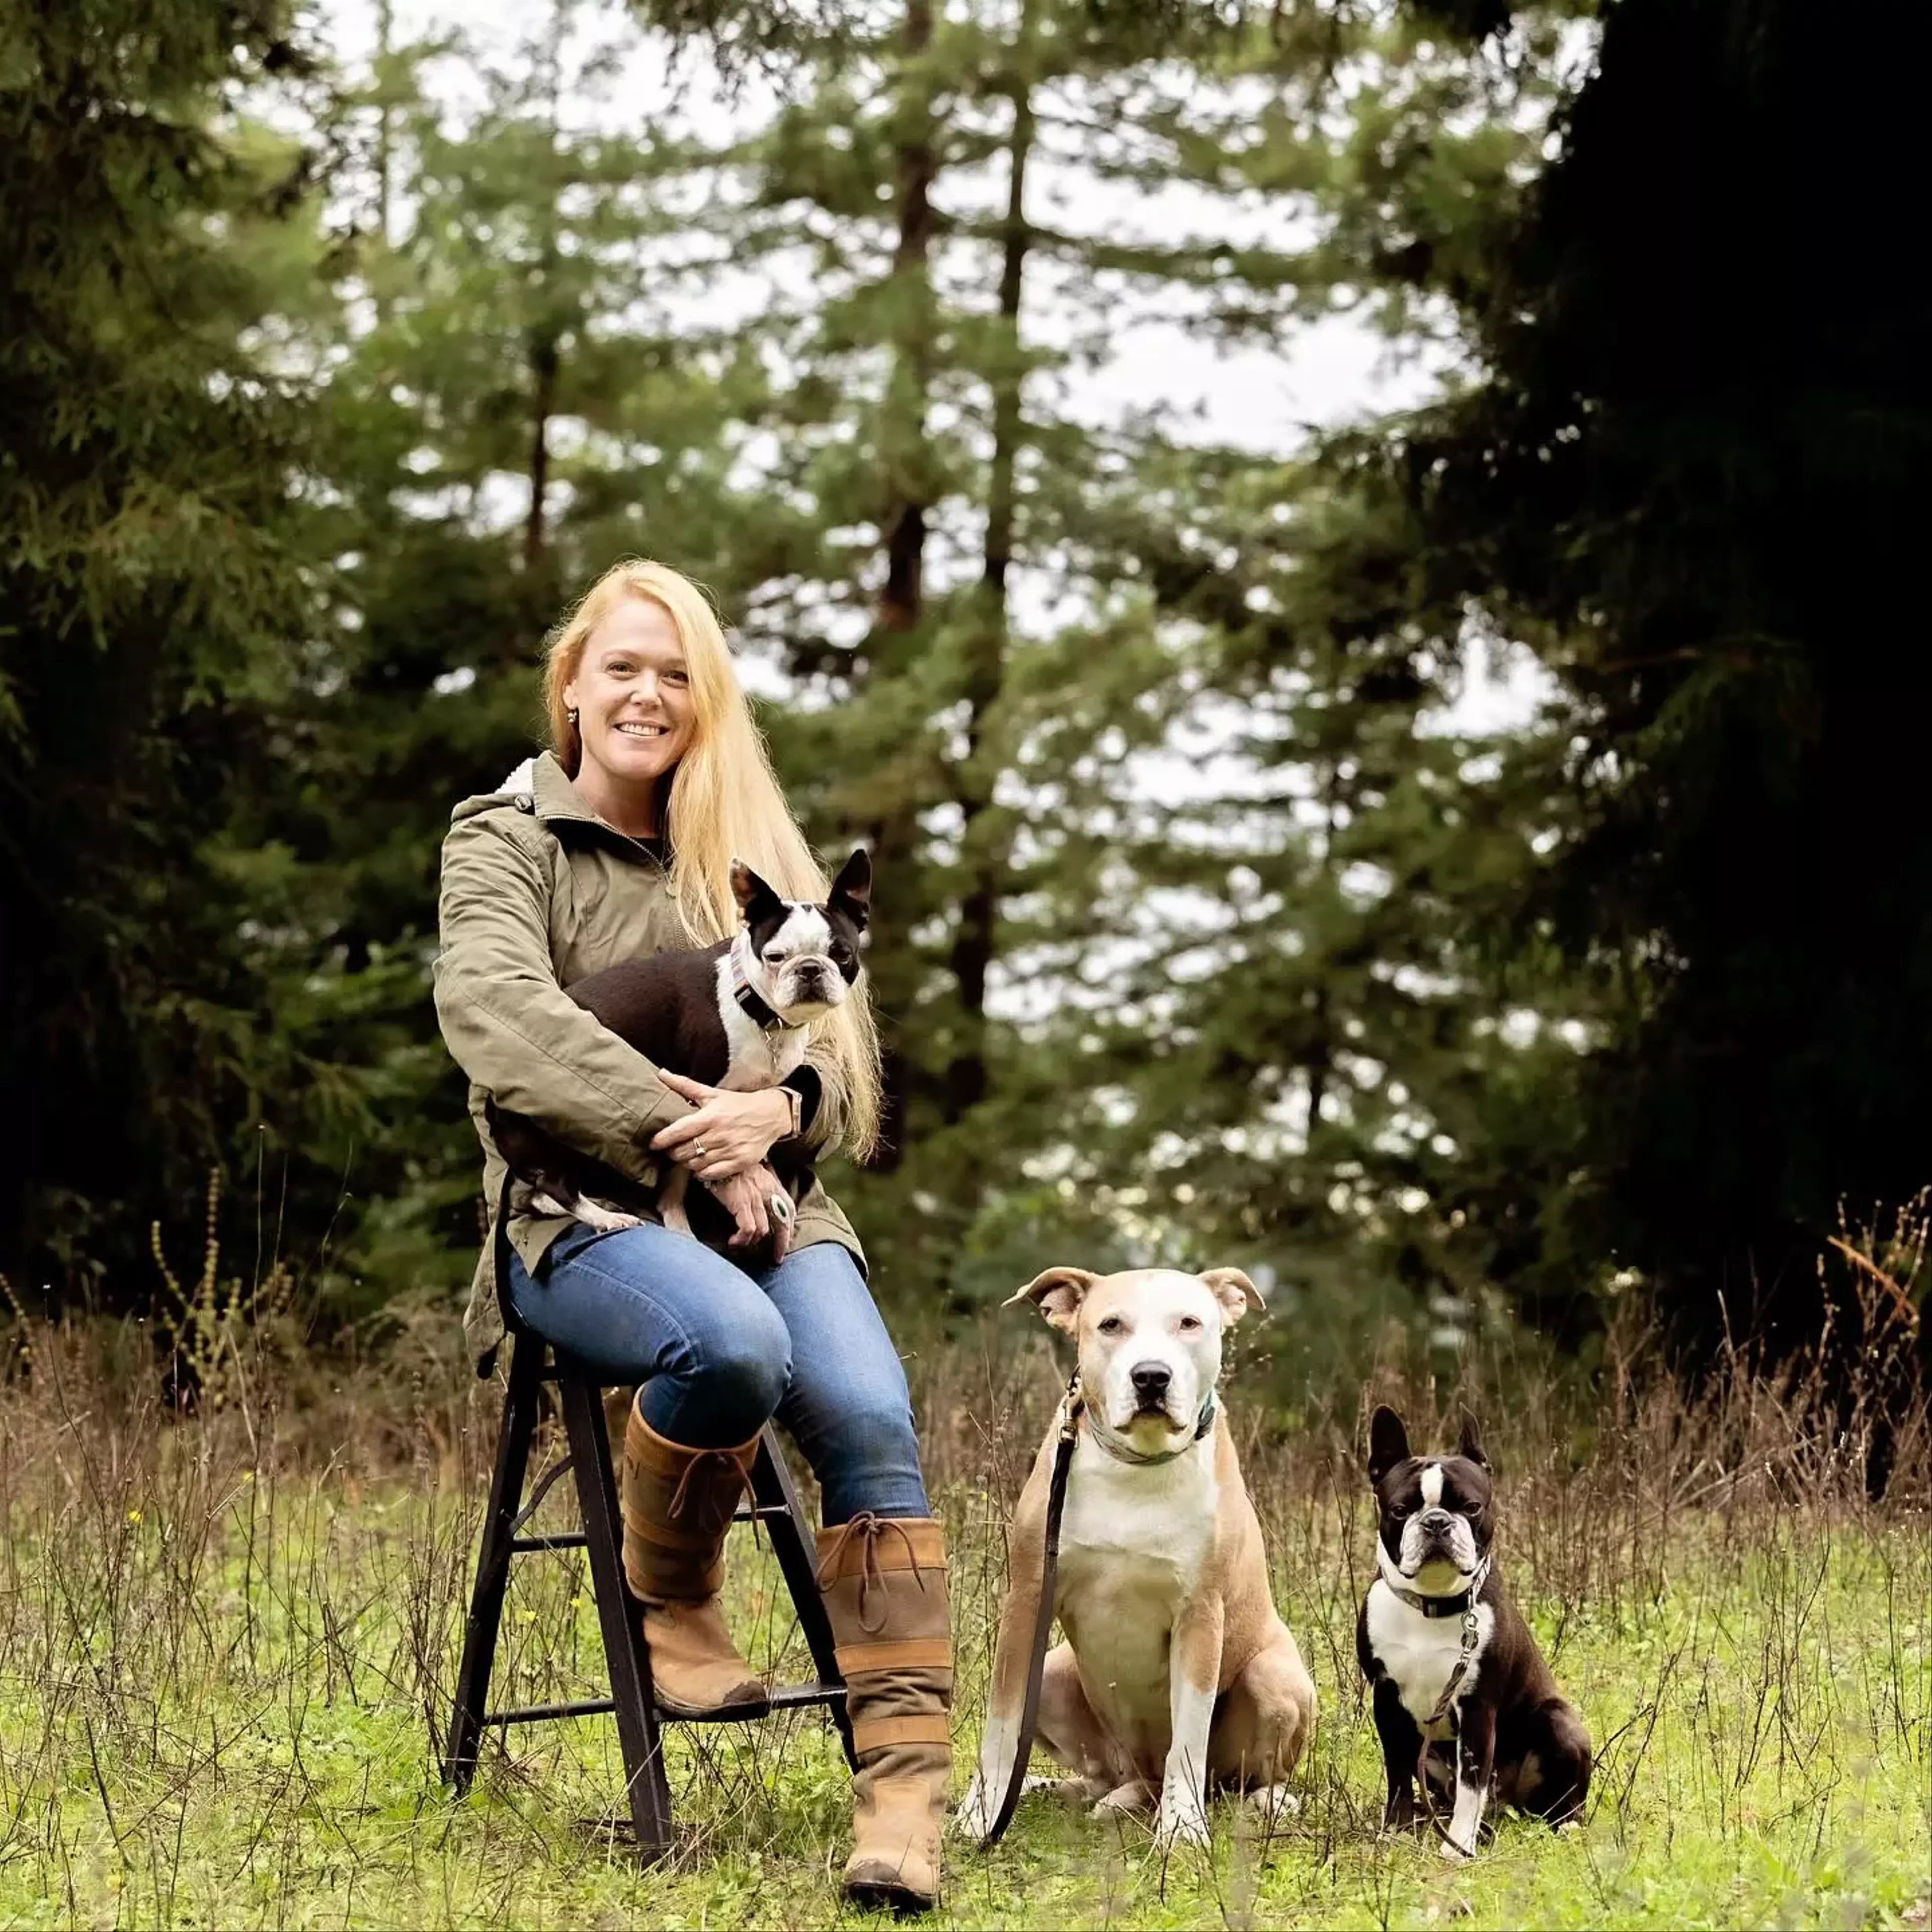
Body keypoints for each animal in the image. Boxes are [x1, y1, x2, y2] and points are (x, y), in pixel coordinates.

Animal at [958, 1259, 1321, 1847]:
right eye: (1111, 1325)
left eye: (1190, 1323)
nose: (1151, 1376)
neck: (1137, 1466)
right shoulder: (1028, 1601)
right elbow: (1003, 1724)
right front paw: (980, 1814)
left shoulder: (1201, 1616)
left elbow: (1189, 1737)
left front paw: (1182, 1830)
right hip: (1057, 1674)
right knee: (1104, 1776)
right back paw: (1079, 1794)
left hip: (1276, 1680)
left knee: (1233, 1780)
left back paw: (1263, 1802)